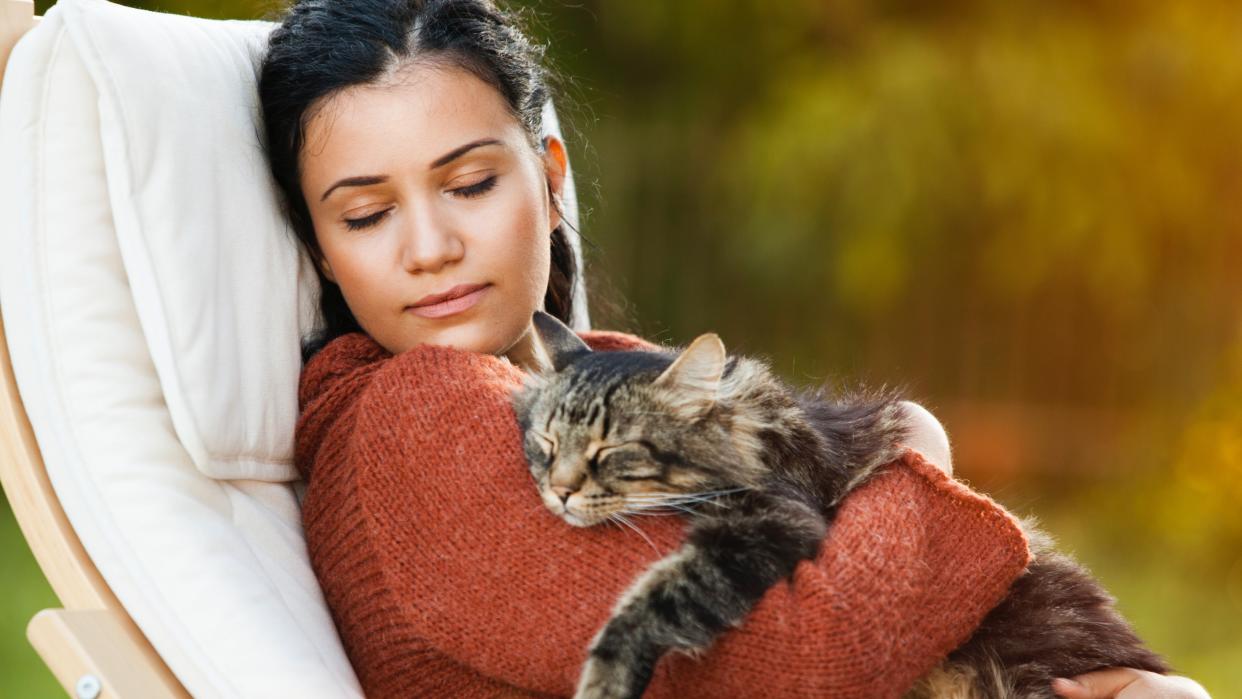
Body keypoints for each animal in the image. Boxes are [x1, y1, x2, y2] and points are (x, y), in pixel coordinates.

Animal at [509, 311, 1167, 699]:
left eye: (610, 451)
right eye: (547, 444)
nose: (559, 491)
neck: (754, 436)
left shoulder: (775, 521)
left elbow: (651, 602)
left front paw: (603, 683)